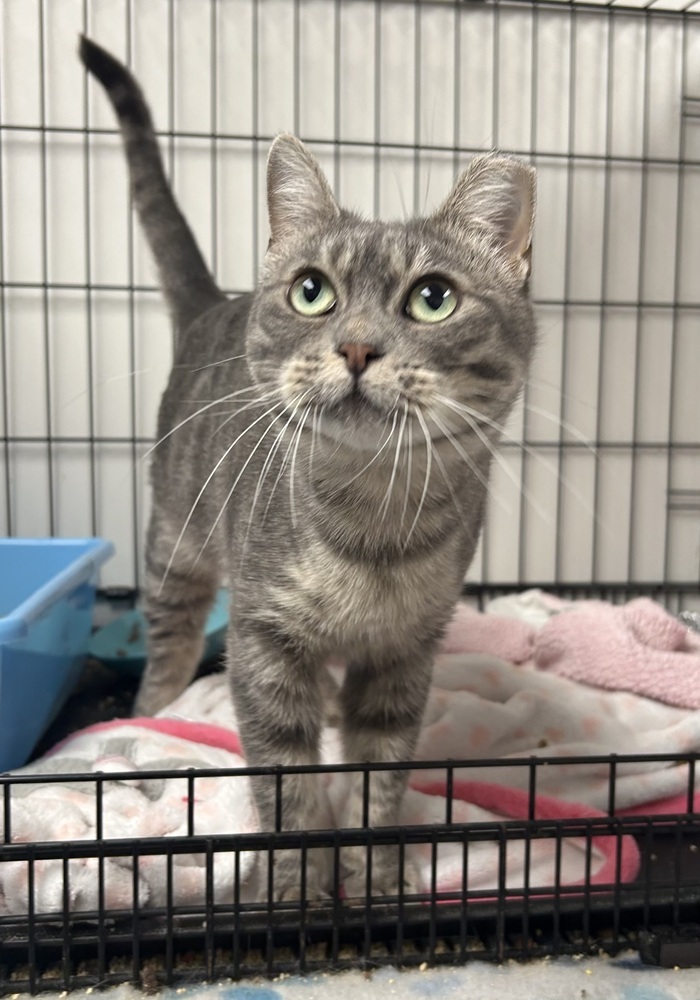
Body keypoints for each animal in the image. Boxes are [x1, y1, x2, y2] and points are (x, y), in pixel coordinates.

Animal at [79, 37, 536, 900]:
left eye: (433, 297)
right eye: (312, 291)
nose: (356, 346)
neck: (372, 524)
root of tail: (211, 302)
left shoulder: (406, 654)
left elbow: (377, 774)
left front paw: (373, 875)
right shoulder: (264, 640)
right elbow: (286, 777)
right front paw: (296, 886)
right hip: (176, 547)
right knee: (170, 647)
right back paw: (156, 708)